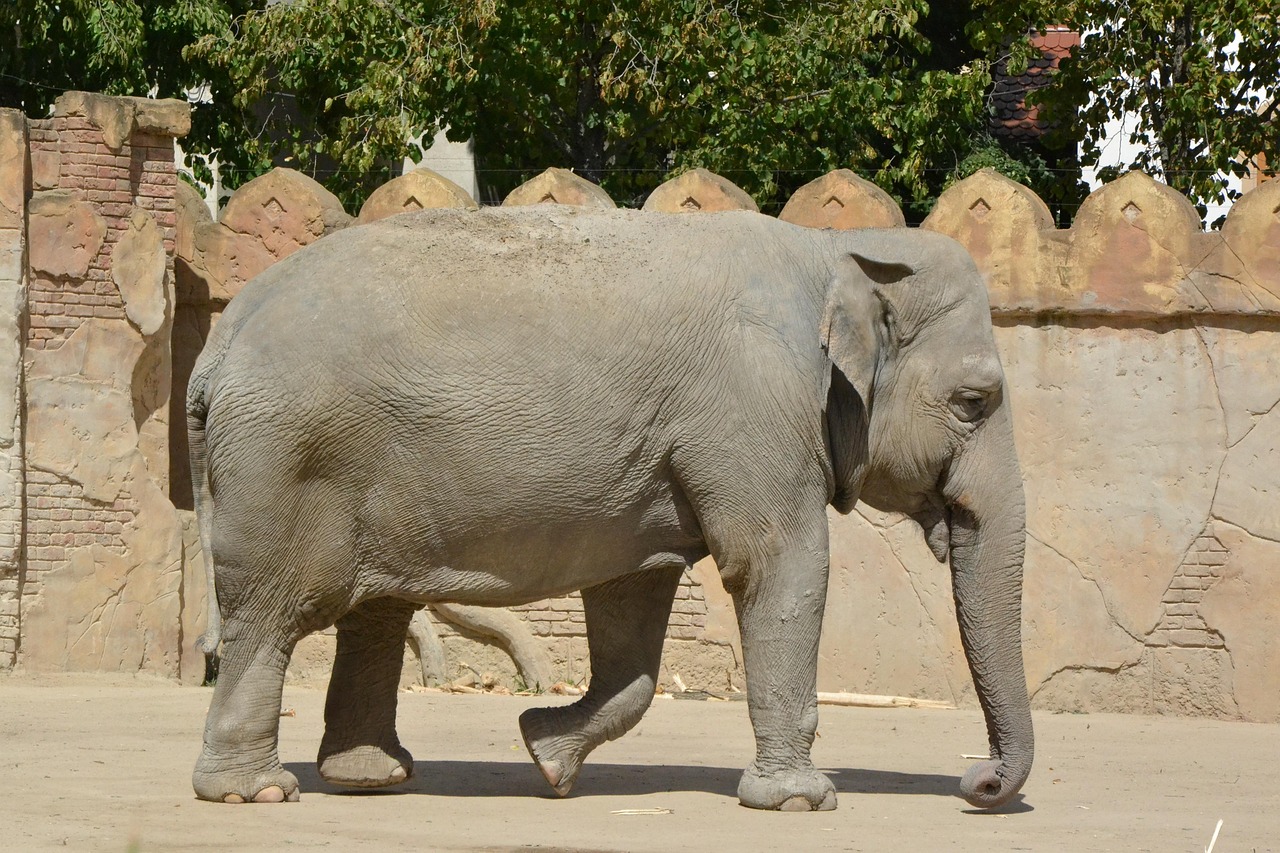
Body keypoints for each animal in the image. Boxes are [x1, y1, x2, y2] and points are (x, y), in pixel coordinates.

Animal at [186, 204, 1029, 809]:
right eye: (974, 400)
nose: (977, 783)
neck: (838, 250)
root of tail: (220, 337)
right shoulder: (756, 406)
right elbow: (779, 564)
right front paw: (799, 801)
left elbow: (634, 604)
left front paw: (545, 755)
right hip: (285, 462)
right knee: (270, 612)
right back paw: (256, 791)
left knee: (374, 613)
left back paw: (371, 776)